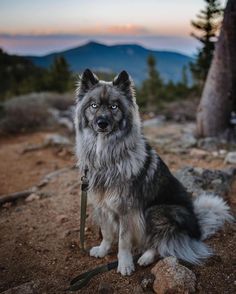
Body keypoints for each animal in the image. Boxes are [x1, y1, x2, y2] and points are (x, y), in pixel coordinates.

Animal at [74, 68, 233, 276]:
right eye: (94, 105)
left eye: (114, 107)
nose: (102, 123)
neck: (106, 155)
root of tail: (197, 230)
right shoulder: (102, 205)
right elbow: (107, 233)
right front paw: (103, 250)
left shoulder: (127, 210)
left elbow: (123, 241)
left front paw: (125, 264)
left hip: (155, 211)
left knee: (161, 243)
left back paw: (145, 257)